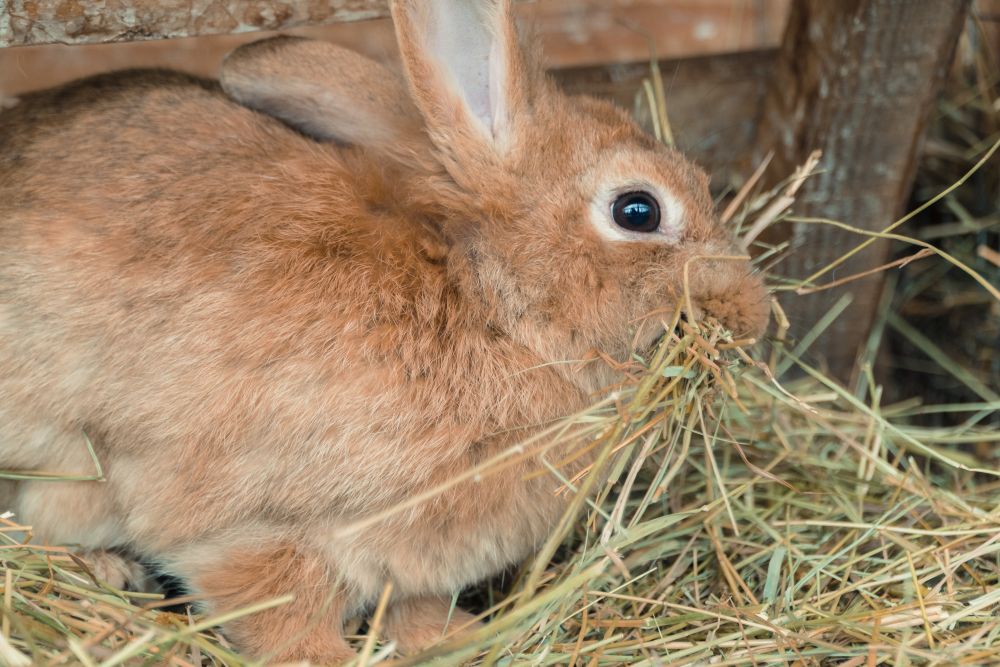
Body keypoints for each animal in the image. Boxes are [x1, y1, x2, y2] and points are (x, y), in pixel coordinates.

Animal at [0, 0, 770, 662]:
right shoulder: (250, 527)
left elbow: (411, 608)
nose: (753, 314)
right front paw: (332, 658)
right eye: (638, 210)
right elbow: (280, 612)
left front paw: (456, 638)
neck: (496, 308)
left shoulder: (409, 566)